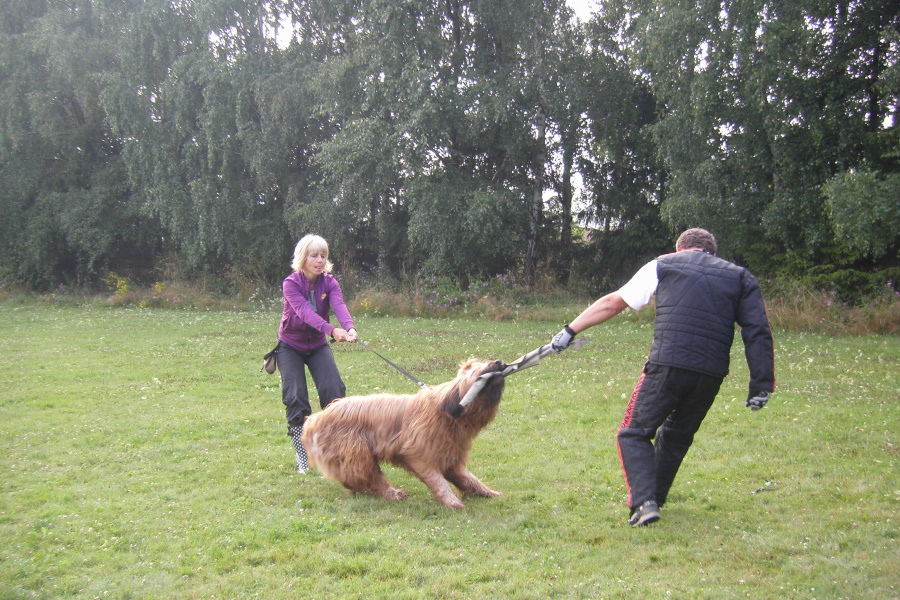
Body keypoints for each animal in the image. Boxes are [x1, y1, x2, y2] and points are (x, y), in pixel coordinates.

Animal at [304, 358, 506, 508]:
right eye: (482, 366)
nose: (499, 361)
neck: (450, 412)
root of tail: (316, 418)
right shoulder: (418, 453)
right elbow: (437, 480)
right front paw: (452, 502)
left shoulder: (451, 456)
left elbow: (468, 478)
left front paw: (488, 492)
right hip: (356, 450)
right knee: (368, 475)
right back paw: (392, 493)